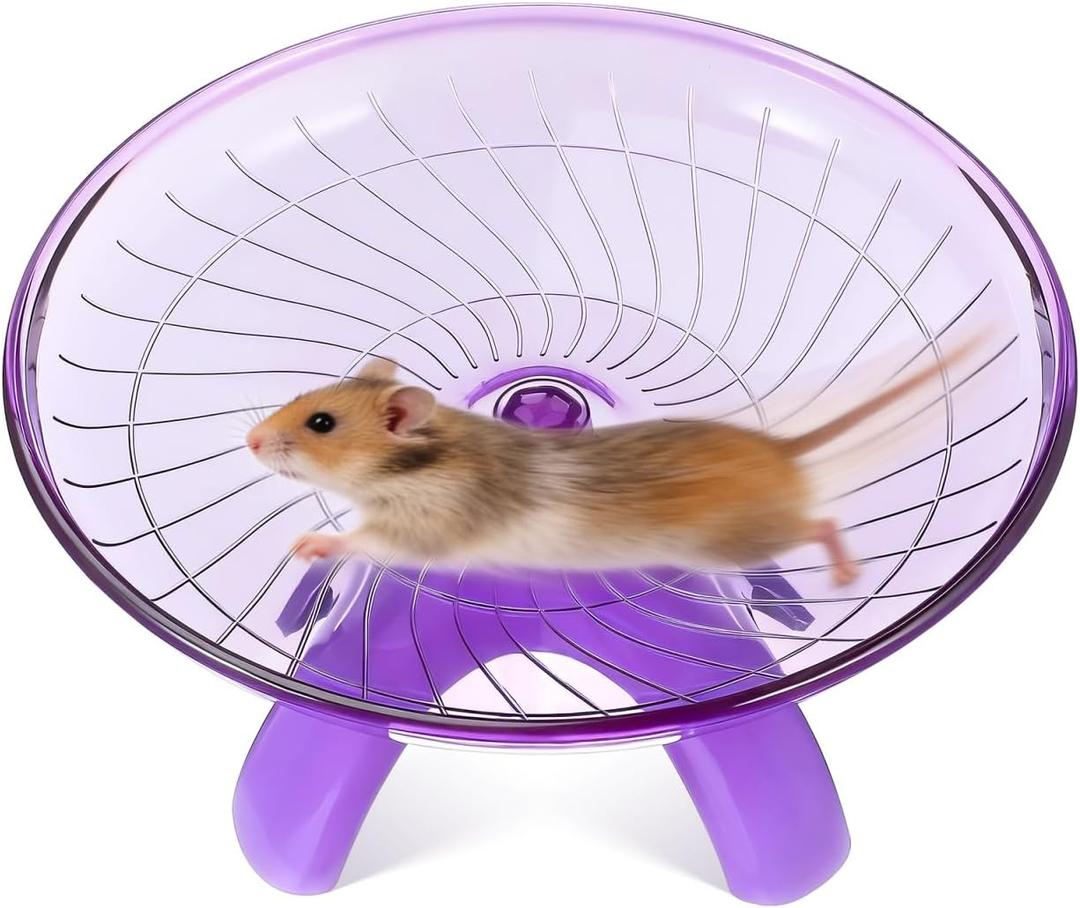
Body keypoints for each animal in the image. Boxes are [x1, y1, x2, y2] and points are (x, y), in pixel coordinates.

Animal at [246, 346, 974, 585]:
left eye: (320, 424)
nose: (249, 441)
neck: (415, 463)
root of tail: (781, 448)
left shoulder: (425, 528)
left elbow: (360, 540)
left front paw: (307, 544)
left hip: (734, 544)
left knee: (820, 525)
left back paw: (847, 575)